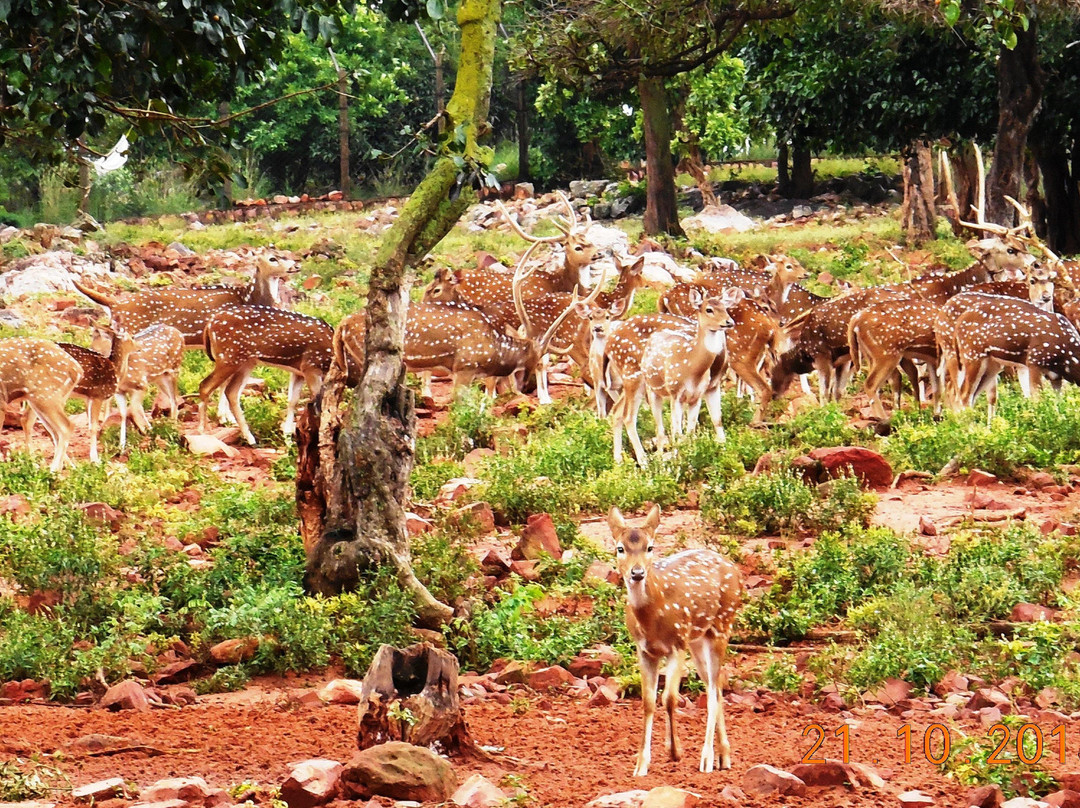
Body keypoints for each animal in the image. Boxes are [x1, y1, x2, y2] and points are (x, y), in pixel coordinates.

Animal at [0, 337, 84, 473]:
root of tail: (78, 370)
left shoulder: (1, 400)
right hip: (46, 399)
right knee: (47, 428)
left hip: (46, 395)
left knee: (66, 426)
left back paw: (53, 470)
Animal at [609, 505, 743, 777]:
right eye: (620, 548)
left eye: (650, 547)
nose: (637, 573)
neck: (652, 618)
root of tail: (736, 569)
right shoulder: (644, 650)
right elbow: (648, 702)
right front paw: (641, 765)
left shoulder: (677, 644)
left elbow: (669, 698)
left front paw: (675, 751)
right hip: (698, 639)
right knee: (716, 686)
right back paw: (724, 756)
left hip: (722, 626)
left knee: (713, 691)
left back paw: (707, 759)